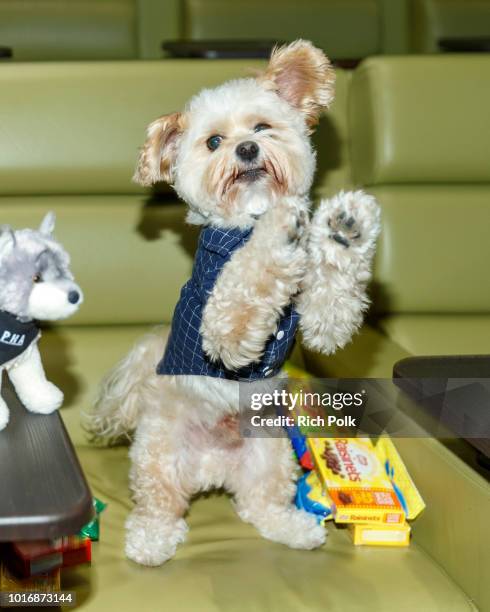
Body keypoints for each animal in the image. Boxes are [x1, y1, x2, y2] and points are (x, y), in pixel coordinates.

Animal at [0, 214, 83, 430]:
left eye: (63, 270)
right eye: (36, 278)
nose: (74, 296)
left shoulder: (26, 355)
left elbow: (33, 377)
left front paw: (43, 398)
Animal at [92, 40, 380, 568]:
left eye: (261, 127)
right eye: (213, 142)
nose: (246, 148)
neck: (245, 220)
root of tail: (211, 469)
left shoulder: (320, 319)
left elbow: (331, 302)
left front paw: (344, 229)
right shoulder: (221, 319)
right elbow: (249, 278)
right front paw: (281, 226)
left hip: (271, 453)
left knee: (261, 504)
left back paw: (294, 528)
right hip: (158, 454)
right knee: (160, 506)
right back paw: (151, 542)